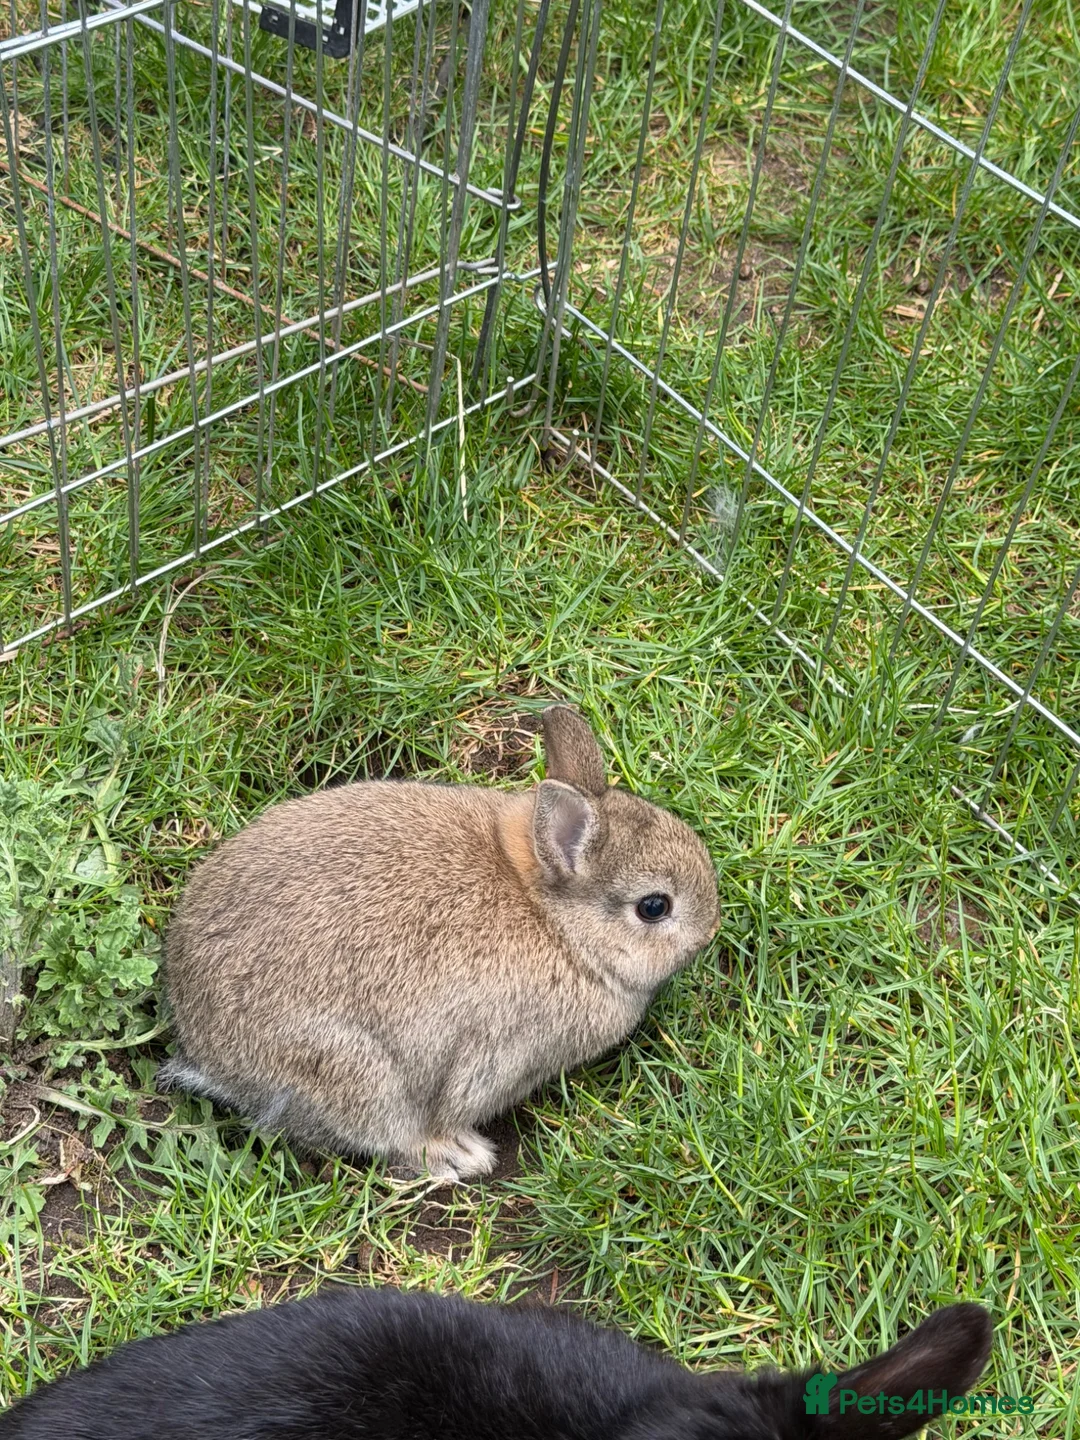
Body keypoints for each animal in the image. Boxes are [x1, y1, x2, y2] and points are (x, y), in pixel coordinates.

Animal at [158, 705, 720, 1180]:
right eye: (654, 907)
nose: (712, 928)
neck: (554, 921)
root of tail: (210, 1055)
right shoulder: (492, 1053)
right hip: (355, 1074)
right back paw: (459, 1156)